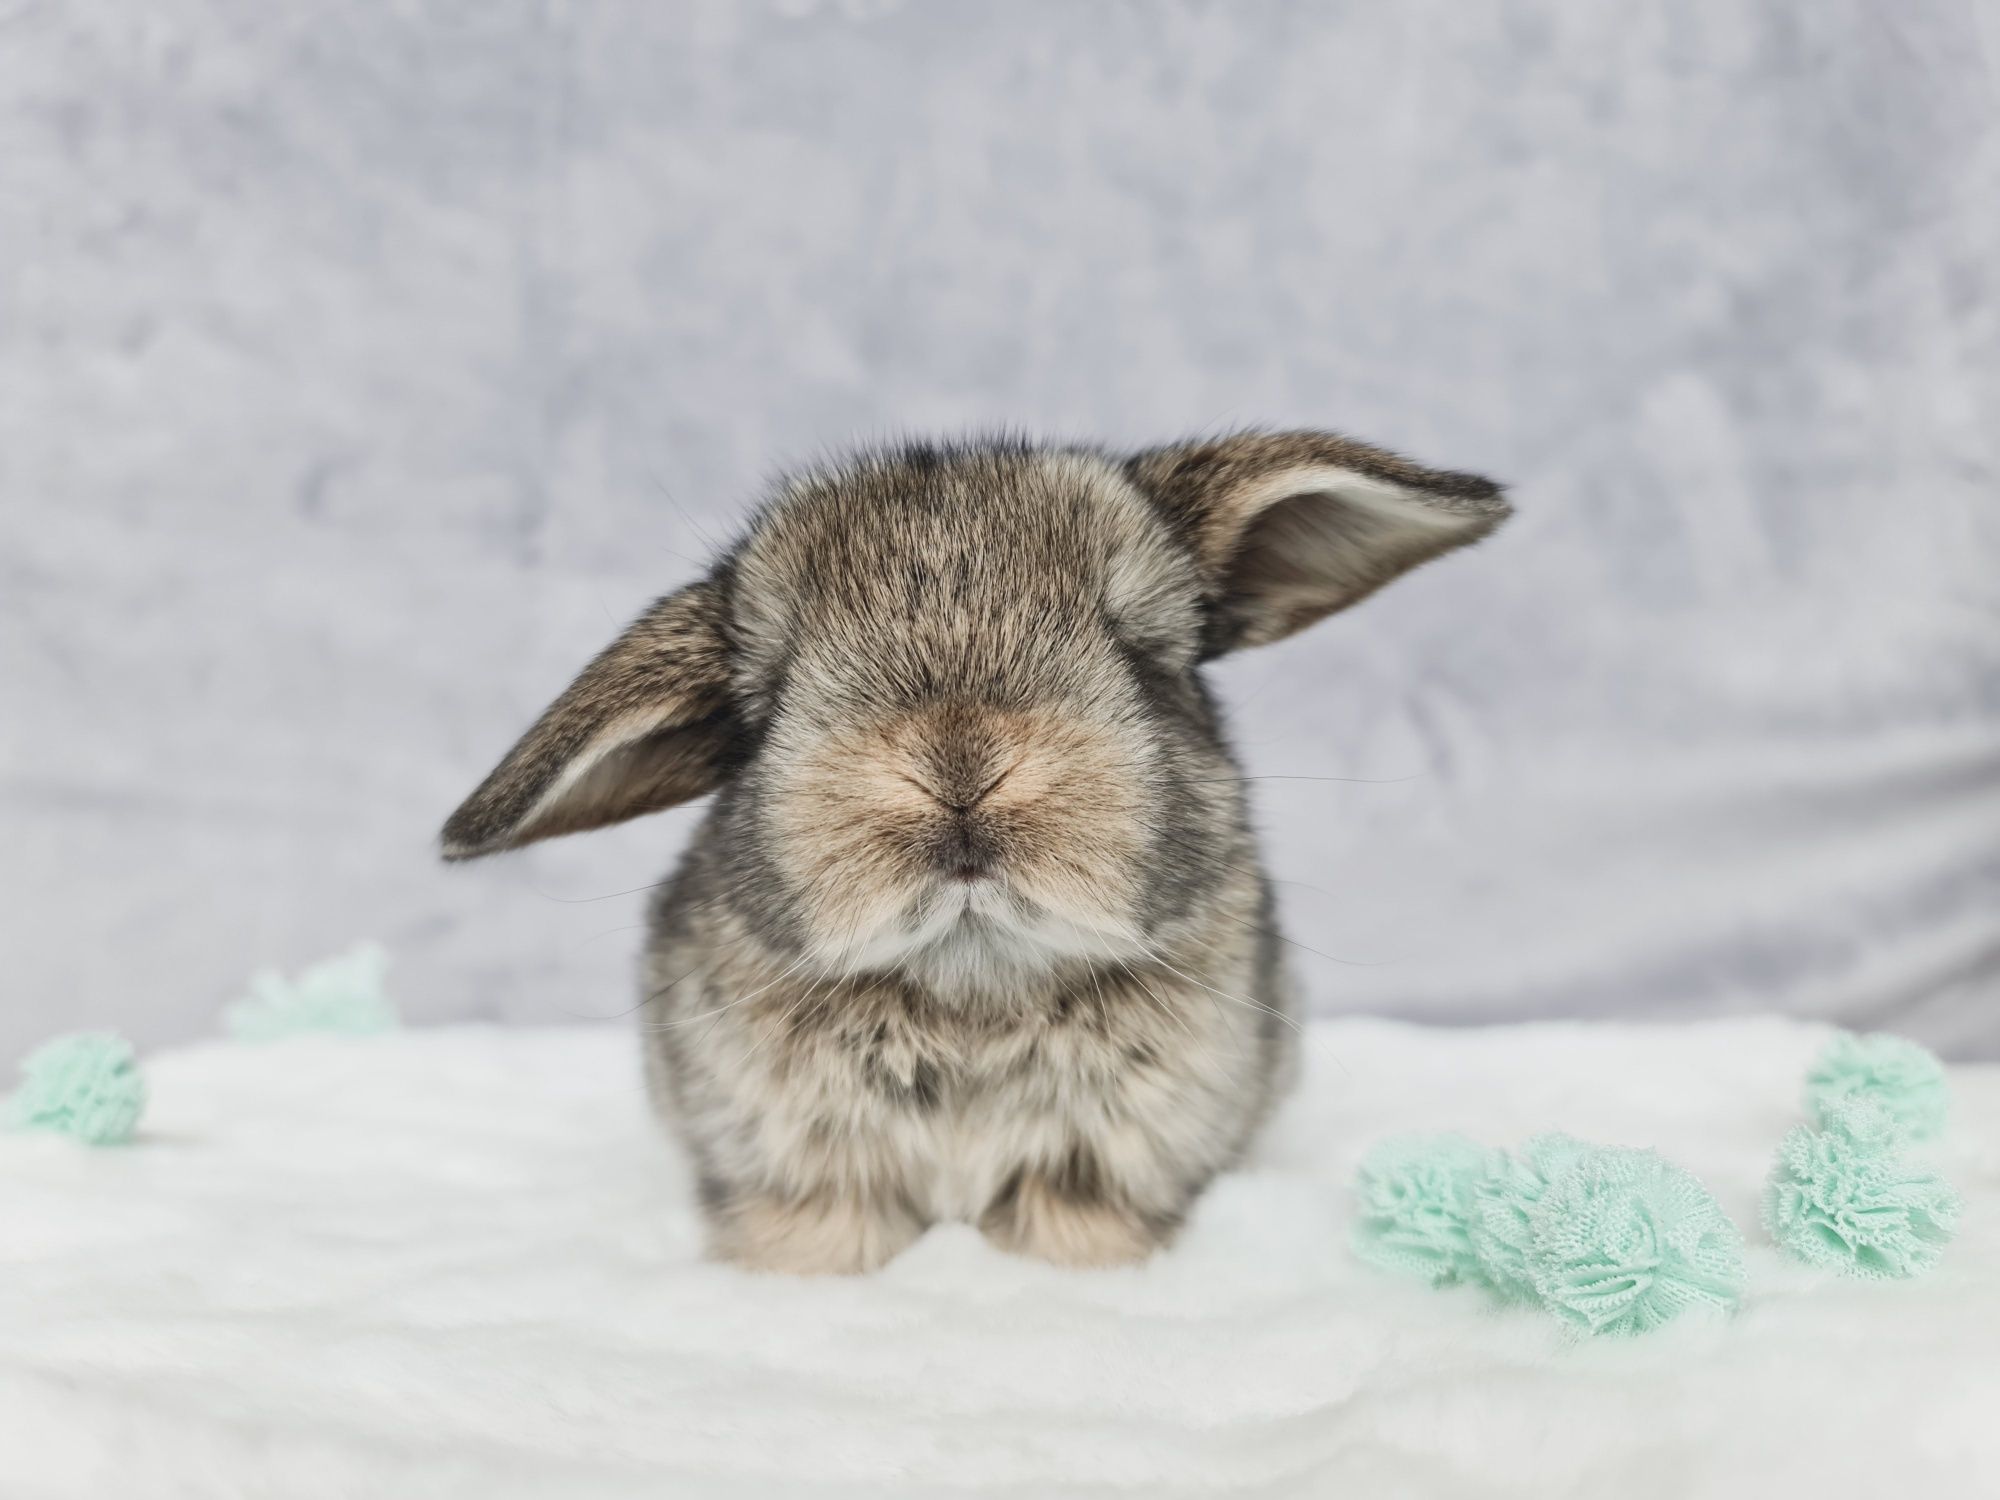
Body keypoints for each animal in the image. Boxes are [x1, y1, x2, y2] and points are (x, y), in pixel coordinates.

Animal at [438, 434, 1504, 1280]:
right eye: (768, 702)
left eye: (1141, 655)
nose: (959, 763)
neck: (971, 975)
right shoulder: (798, 1168)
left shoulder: (1102, 1167)